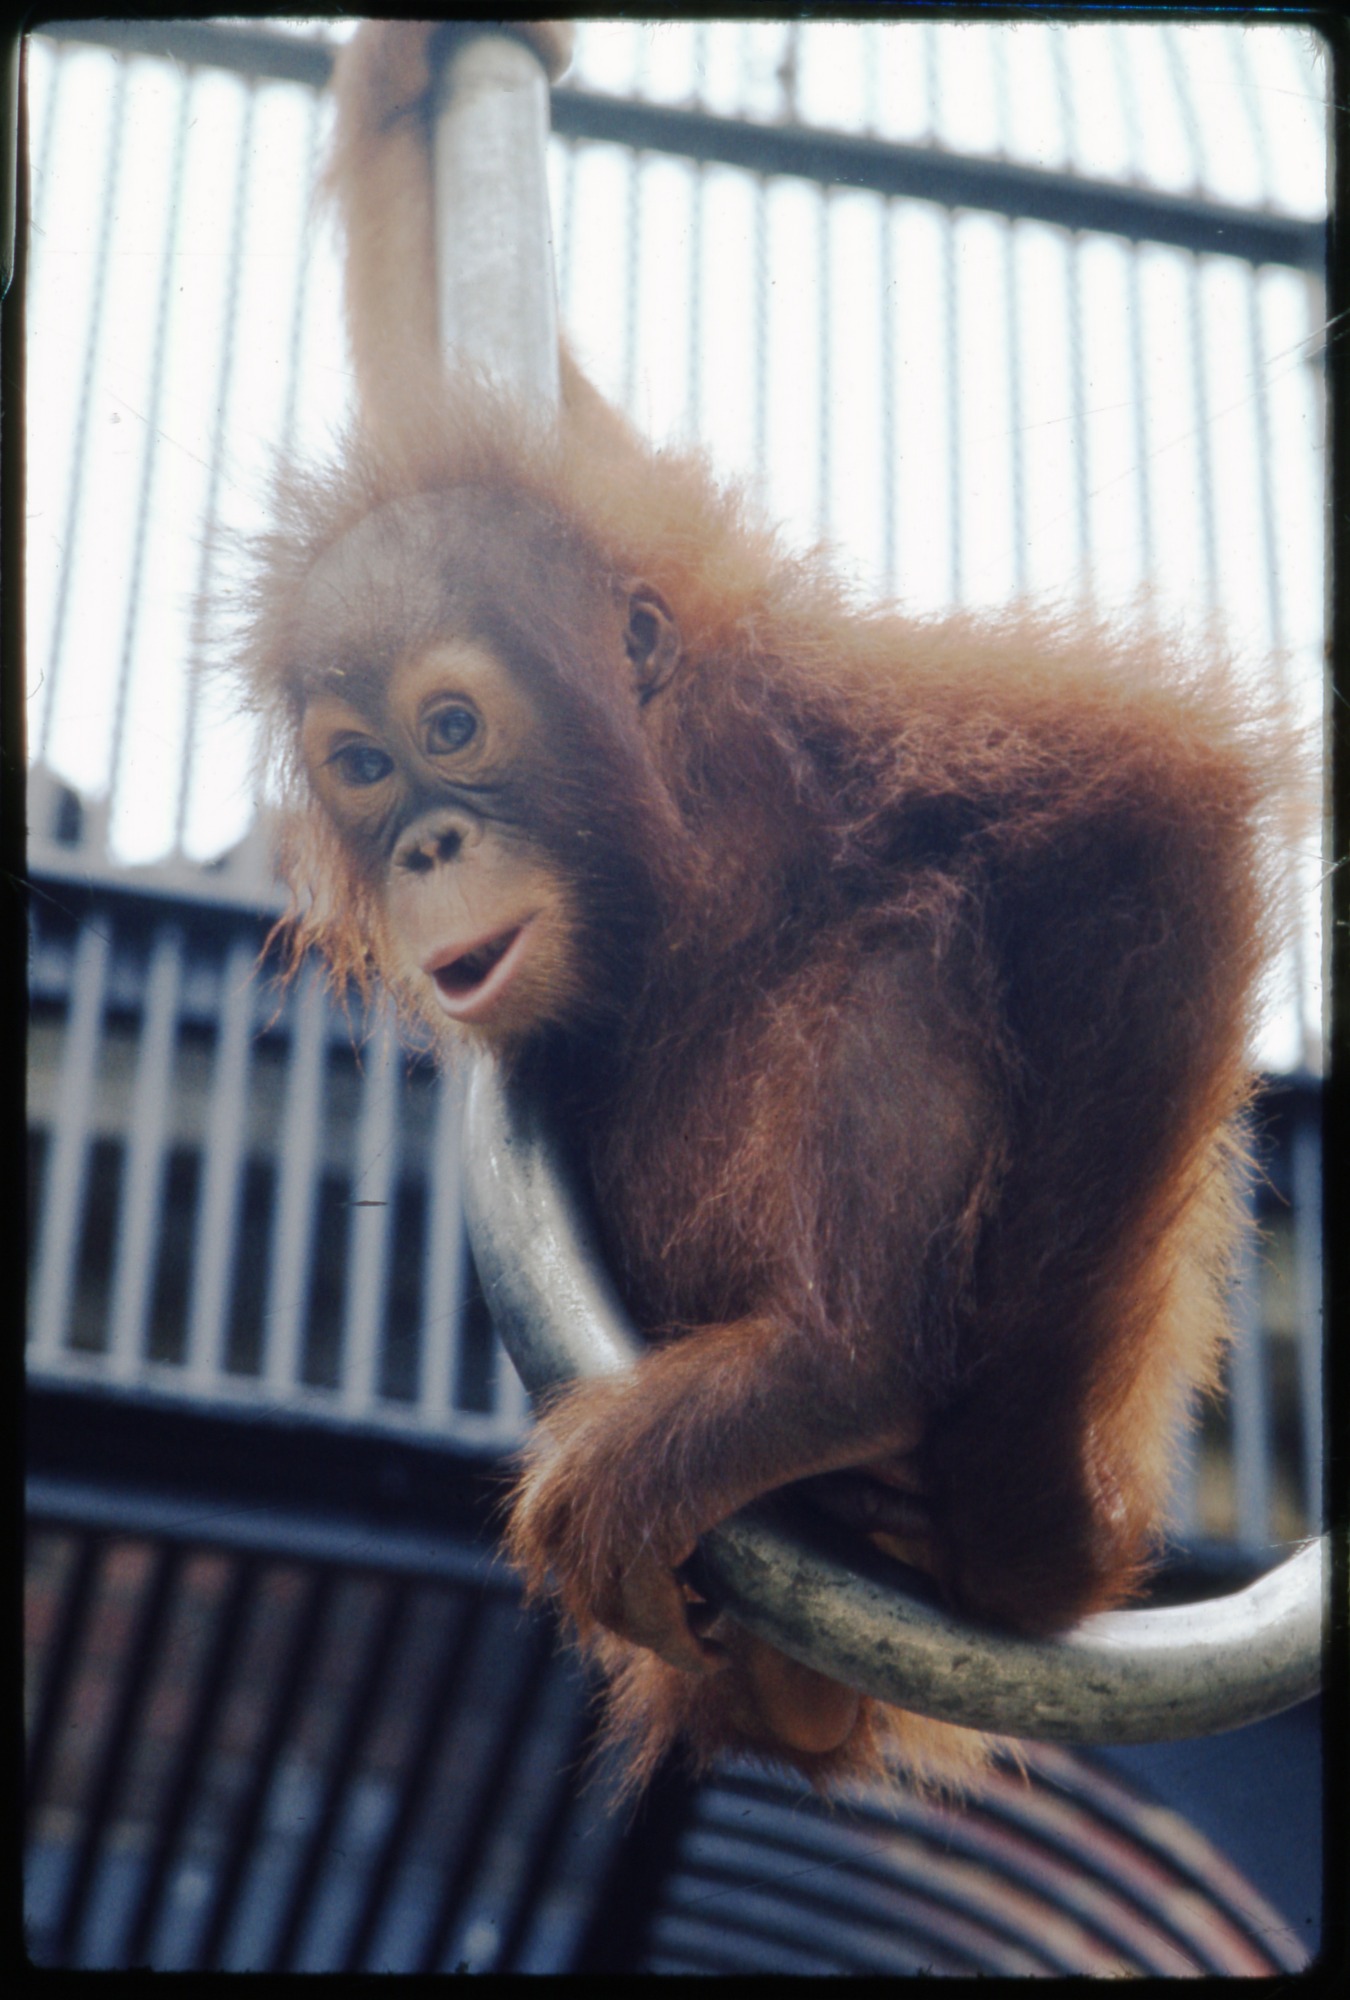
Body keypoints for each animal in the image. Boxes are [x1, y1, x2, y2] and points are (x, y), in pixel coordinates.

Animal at [237, 20, 1299, 1796]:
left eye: (451, 728)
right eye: (363, 766)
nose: (429, 844)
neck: (680, 865)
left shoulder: (822, 708)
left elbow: (1151, 804)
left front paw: (1024, 1537)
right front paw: (413, 68)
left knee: (897, 951)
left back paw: (828, 1384)